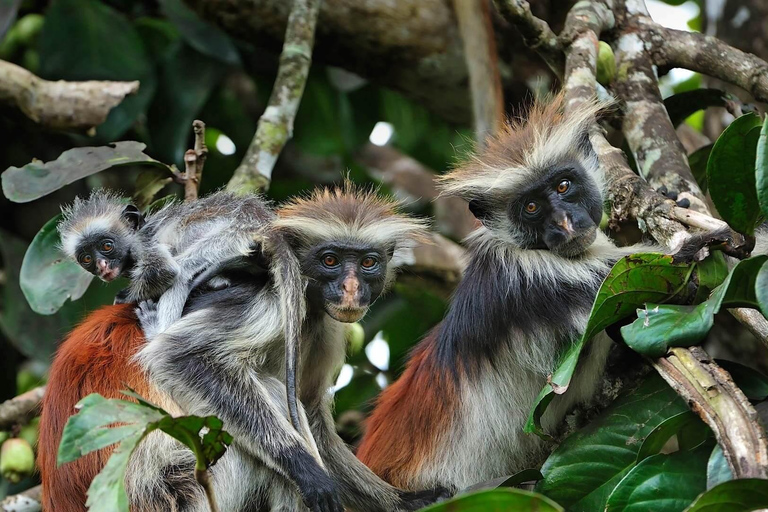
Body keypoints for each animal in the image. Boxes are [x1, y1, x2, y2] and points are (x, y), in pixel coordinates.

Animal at [40, 184, 450, 512]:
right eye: (330, 260)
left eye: (368, 263)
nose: (350, 290)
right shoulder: (269, 303)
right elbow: (179, 356)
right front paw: (305, 468)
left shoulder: (318, 321)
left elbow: (310, 411)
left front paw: (402, 501)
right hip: (180, 486)